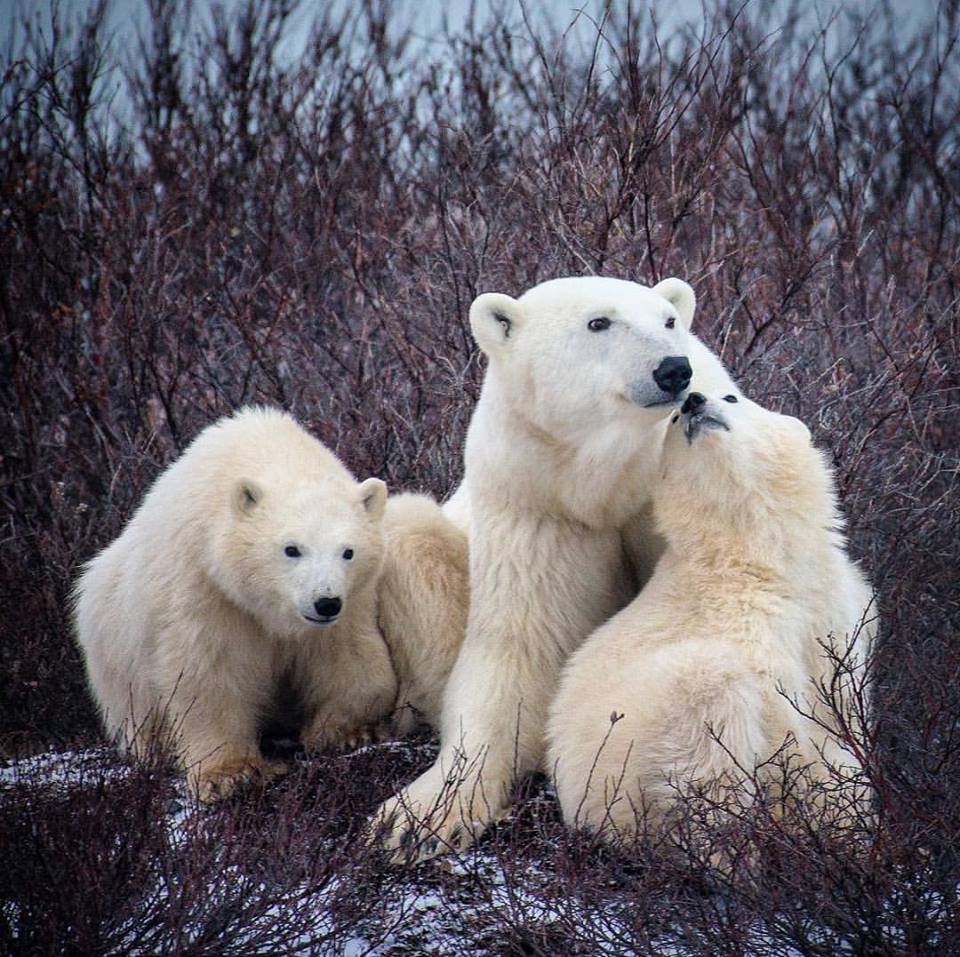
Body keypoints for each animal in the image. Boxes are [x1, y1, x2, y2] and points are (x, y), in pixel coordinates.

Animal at [72, 406, 397, 801]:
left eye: (348, 551)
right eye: (291, 549)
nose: (326, 602)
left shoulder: (352, 602)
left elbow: (353, 658)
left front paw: (349, 731)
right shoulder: (204, 587)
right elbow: (207, 672)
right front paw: (231, 774)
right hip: (113, 640)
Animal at [373, 276, 739, 861]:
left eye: (668, 320)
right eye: (599, 322)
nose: (672, 369)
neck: (608, 481)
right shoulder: (538, 502)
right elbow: (524, 648)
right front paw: (414, 820)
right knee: (406, 533)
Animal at [546, 390, 876, 839]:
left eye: (732, 396)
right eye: (672, 419)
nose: (693, 400)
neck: (749, 558)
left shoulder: (831, 605)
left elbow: (840, 697)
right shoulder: (741, 621)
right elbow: (782, 718)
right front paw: (820, 809)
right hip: (627, 750)